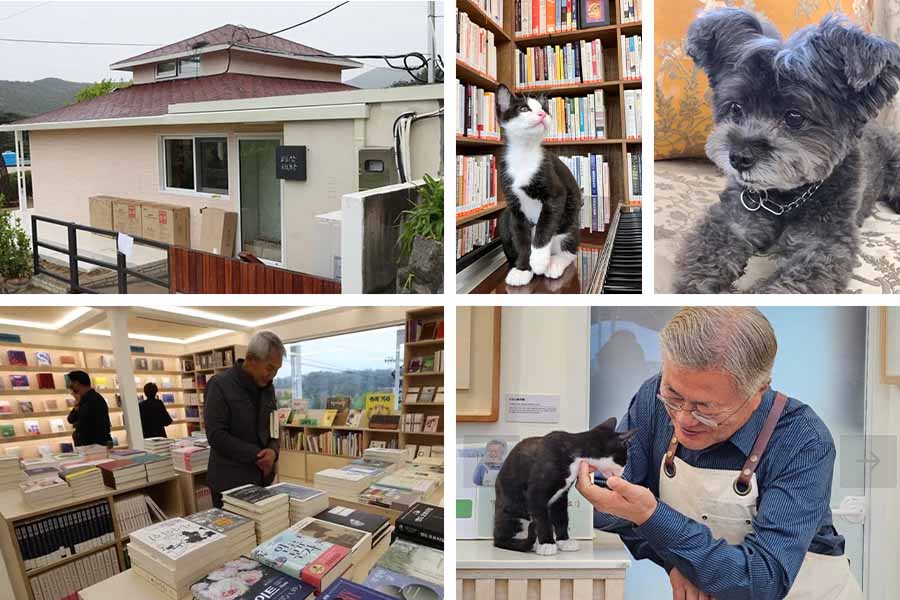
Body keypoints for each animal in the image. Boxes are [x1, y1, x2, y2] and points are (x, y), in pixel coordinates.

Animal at [492, 84, 584, 286]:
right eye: (524, 109)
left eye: (544, 109)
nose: (542, 114)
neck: (524, 154)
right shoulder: (514, 207)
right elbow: (521, 238)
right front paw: (522, 269)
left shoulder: (555, 193)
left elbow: (544, 225)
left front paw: (539, 260)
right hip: (504, 218)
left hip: (571, 222)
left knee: (570, 249)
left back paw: (555, 262)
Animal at [492, 418, 632, 552]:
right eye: (624, 459)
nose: (623, 472)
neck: (575, 452)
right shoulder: (536, 493)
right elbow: (542, 519)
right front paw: (547, 543)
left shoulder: (560, 496)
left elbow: (561, 517)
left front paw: (564, 541)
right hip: (510, 512)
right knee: (501, 539)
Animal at [676, 7, 900, 292]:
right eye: (736, 108)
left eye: (794, 117)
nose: (738, 158)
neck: (784, 199)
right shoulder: (732, 220)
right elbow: (705, 258)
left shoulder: (821, 244)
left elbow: (790, 285)